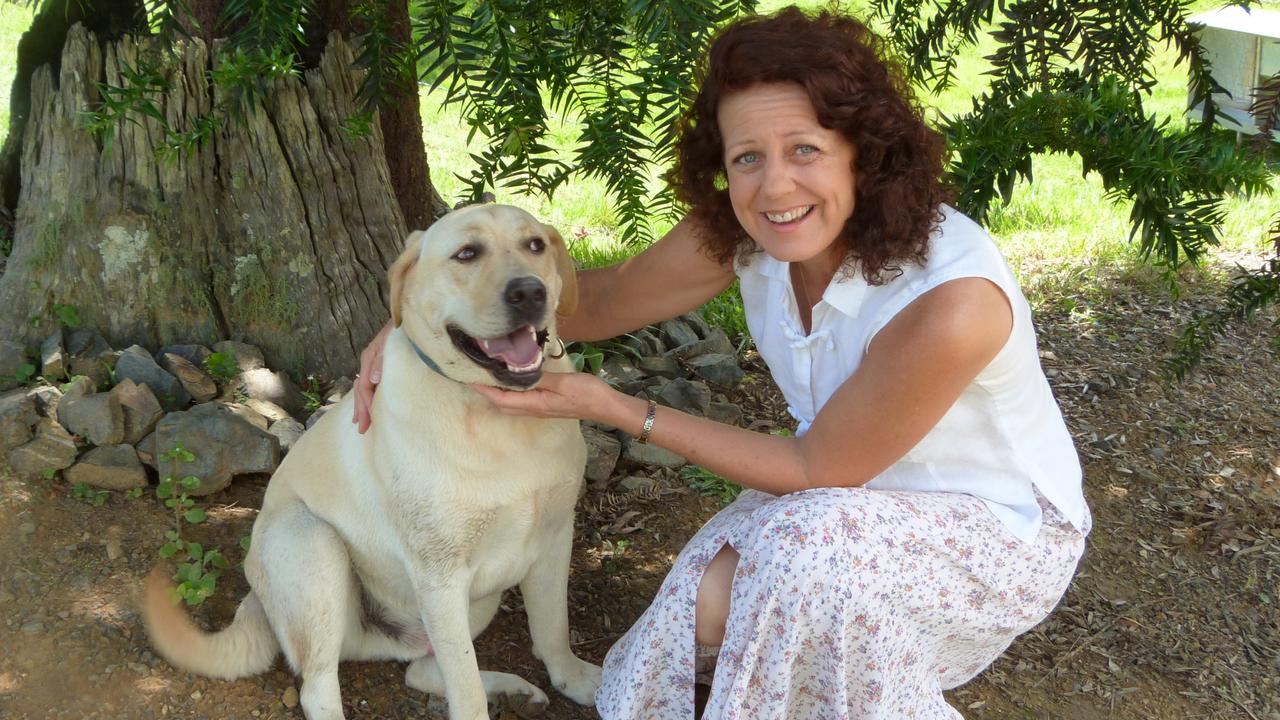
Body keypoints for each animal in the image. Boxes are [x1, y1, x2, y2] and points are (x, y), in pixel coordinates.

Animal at [142, 203, 601, 717]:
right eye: (466, 253)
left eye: (535, 245)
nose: (529, 292)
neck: (498, 422)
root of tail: (257, 599)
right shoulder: (439, 576)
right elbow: (465, 690)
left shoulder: (555, 537)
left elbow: (553, 628)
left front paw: (574, 679)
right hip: (315, 544)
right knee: (321, 686)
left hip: (476, 601)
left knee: (422, 670)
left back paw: (511, 688)